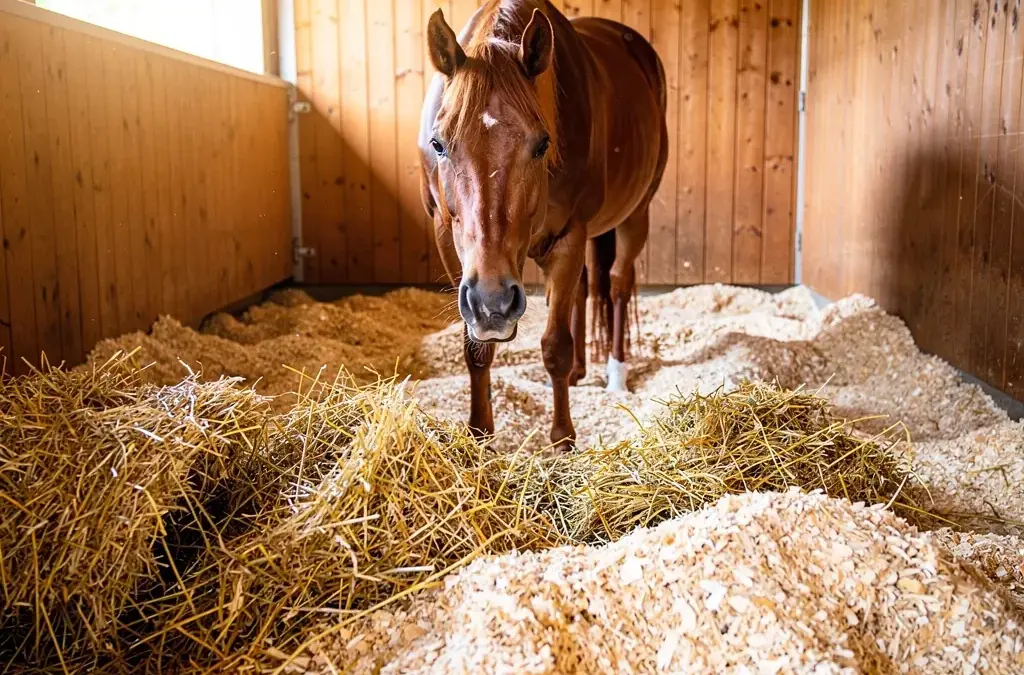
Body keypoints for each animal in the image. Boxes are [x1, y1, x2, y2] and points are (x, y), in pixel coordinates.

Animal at [418, 0, 668, 450]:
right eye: (438, 144)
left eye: (542, 144)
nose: (493, 302)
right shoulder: (445, 236)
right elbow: (476, 350)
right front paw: (479, 435)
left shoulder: (570, 236)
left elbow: (555, 346)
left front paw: (563, 439)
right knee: (585, 288)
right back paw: (582, 371)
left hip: (635, 215)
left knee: (617, 286)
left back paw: (616, 375)